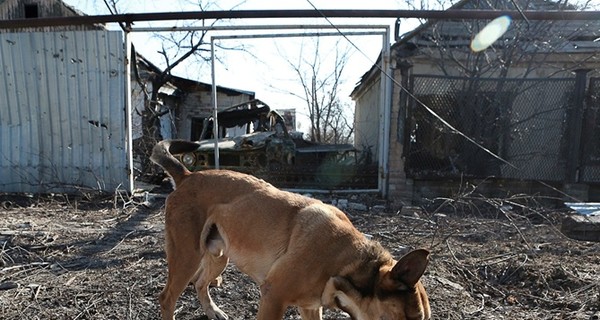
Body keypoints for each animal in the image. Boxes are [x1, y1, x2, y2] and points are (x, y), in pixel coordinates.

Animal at [150, 141, 432, 320]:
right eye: (413, 317)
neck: (347, 260)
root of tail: (188, 175)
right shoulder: (273, 297)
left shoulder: (310, 307)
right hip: (187, 256)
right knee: (167, 298)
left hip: (219, 256)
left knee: (200, 283)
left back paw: (213, 311)